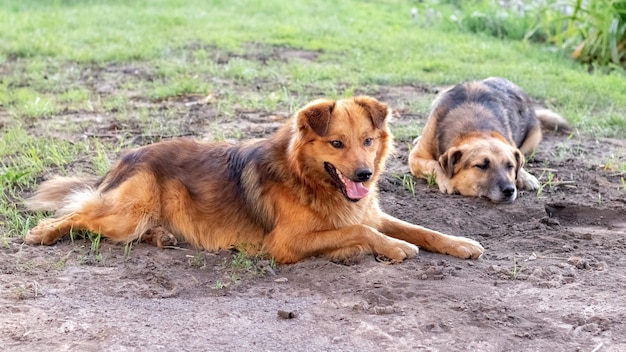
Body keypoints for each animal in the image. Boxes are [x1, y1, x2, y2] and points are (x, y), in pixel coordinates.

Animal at [25, 95, 482, 262]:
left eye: (368, 141)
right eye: (336, 143)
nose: (364, 174)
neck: (309, 179)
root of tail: (129, 153)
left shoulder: (365, 212)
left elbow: (420, 228)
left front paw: (460, 243)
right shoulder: (286, 243)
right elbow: (366, 234)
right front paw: (392, 248)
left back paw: (164, 236)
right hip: (128, 211)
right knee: (80, 216)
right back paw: (44, 233)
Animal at [408, 77, 568, 204]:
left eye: (510, 166)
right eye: (481, 165)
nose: (509, 190)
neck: (476, 126)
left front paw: (524, 175)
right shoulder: (415, 157)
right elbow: (435, 164)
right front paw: (447, 180)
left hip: (533, 139)